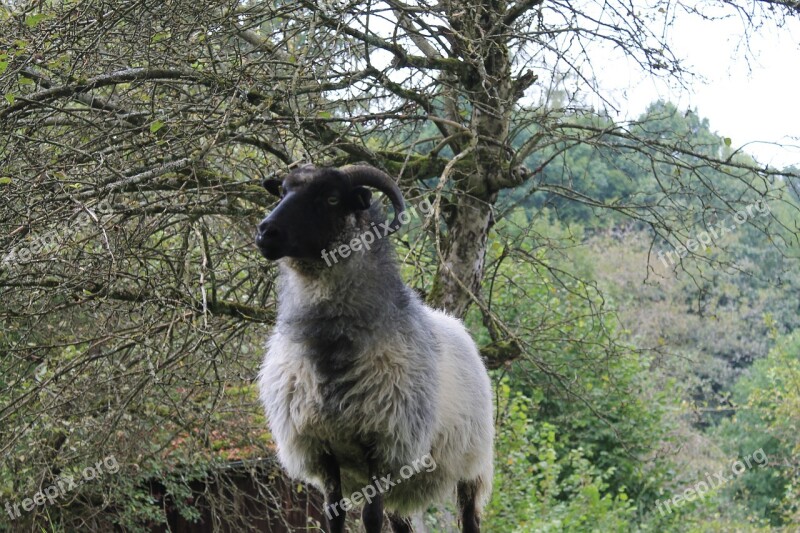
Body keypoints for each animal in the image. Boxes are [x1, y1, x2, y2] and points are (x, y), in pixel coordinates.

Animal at [256, 163, 494, 532]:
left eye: (332, 198)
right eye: (282, 191)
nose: (266, 232)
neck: (329, 349)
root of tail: (457, 326)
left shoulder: (382, 445)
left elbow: (371, 516)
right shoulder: (321, 449)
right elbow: (334, 515)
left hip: (473, 466)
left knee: (469, 517)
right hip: (405, 488)